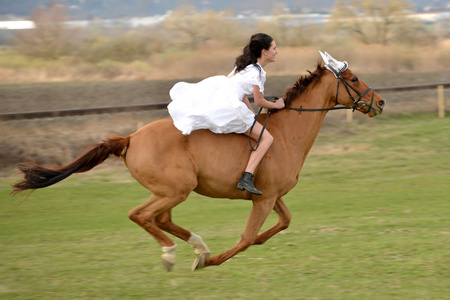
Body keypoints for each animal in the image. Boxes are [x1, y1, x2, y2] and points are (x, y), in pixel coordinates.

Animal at [12, 52, 384, 272]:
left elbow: (280, 225)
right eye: (353, 79)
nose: (379, 102)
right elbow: (247, 238)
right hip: (176, 189)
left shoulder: (272, 197)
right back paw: (175, 253)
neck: (287, 134)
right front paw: (213, 261)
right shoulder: (264, 199)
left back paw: (197, 247)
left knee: (159, 218)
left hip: (170, 191)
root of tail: (130, 138)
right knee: (141, 215)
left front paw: (215, 255)